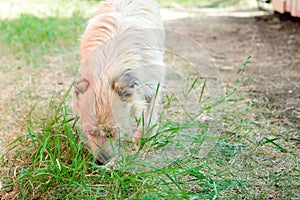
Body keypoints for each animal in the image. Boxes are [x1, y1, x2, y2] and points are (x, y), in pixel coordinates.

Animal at [73, 0, 166, 165]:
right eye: (90, 132)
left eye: (112, 134)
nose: (100, 162)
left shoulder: (153, 86)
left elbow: (149, 116)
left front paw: (143, 138)